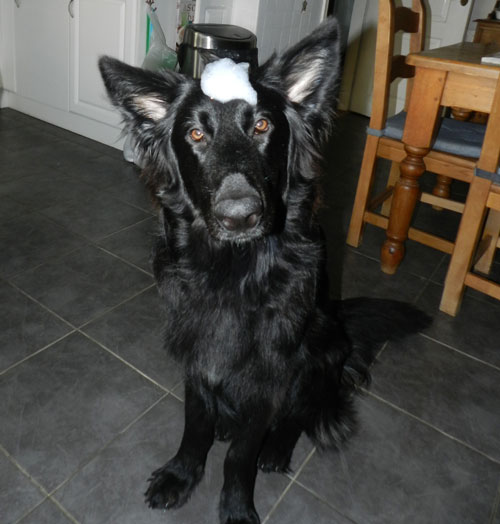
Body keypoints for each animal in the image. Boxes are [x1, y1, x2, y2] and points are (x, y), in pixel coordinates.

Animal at [99, 17, 432, 524]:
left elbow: (240, 455)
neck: (233, 270)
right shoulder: (199, 349)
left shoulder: (269, 368)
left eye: (261, 125)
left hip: (320, 348)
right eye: (195, 135)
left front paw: (236, 506)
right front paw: (182, 473)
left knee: (298, 414)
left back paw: (277, 448)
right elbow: (195, 425)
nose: (240, 216)